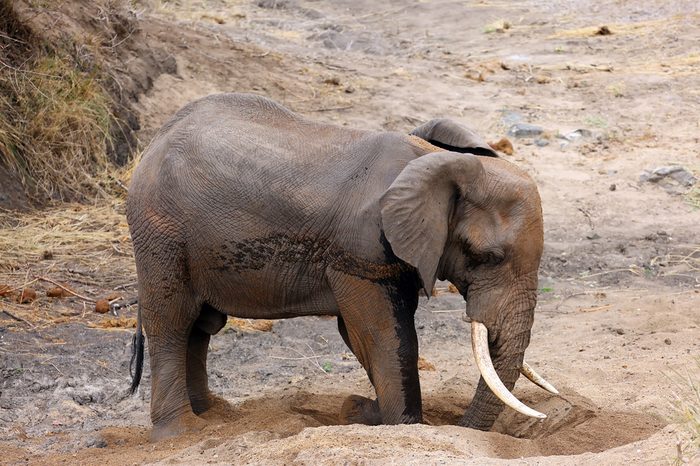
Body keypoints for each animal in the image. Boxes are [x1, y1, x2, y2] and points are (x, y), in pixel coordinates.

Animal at [127, 92, 556, 440]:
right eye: (488, 257)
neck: (432, 161)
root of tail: (155, 141)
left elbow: (360, 334)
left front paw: (363, 411)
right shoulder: (362, 252)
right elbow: (381, 333)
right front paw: (401, 424)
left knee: (201, 326)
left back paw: (213, 416)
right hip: (160, 235)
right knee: (173, 321)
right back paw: (181, 432)